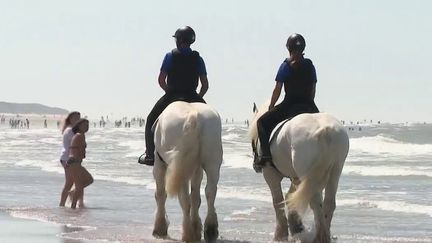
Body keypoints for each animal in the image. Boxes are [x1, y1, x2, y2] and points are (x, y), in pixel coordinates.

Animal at [151, 100, 223, 241]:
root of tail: (194, 116)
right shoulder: (196, 168)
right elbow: (195, 197)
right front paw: (197, 227)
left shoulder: (159, 164)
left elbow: (161, 194)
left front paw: (160, 228)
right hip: (212, 161)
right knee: (210, 191)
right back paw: (210, 229)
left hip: (179, 166)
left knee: (184, 199)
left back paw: (187, 233)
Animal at [250, 103, 348, 243]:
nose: (255, 166)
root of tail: (326, 130)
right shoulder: (296, 177)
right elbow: (290, 196)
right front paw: (296, 227)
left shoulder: (270, 174)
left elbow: (277, 201)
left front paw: (280, 235)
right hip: (335, 169)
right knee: (329, 202)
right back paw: (325, 235)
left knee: (316, 202)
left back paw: (319, 237)